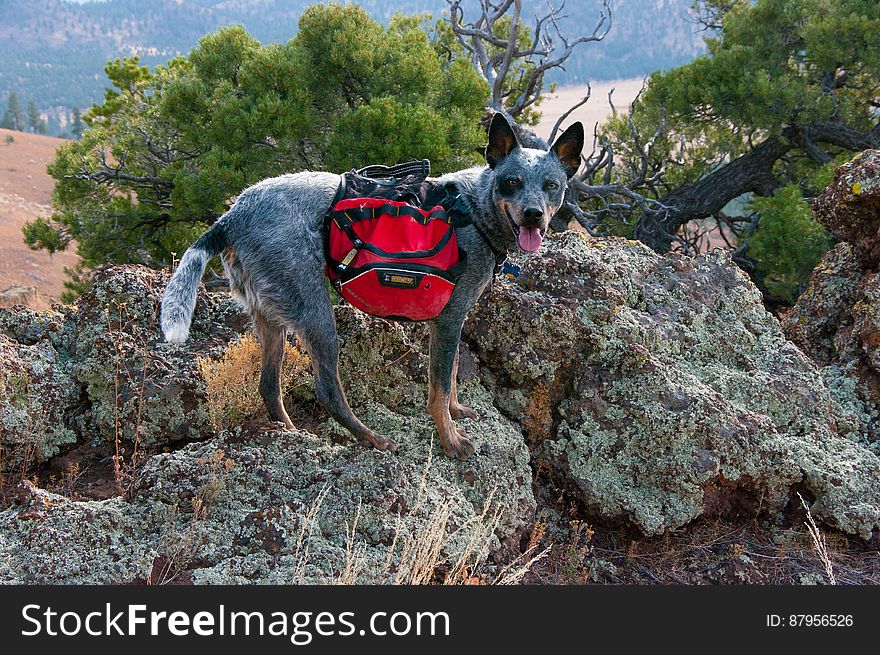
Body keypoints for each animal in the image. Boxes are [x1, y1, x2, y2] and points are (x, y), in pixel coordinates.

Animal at [160, 113, 584, 462]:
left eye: (551, 185)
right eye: (511, 182)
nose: (533, 214)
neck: (475, 210)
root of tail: (232, 214)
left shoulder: (451, 322)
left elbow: (448, 380)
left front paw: (456, 412)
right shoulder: (449, 320)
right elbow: (438, 389)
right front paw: (450, 440)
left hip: (271, 319)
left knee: (268, 385)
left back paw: (293, 434)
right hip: (316, 314)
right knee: (327, 390)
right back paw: (373, 439)